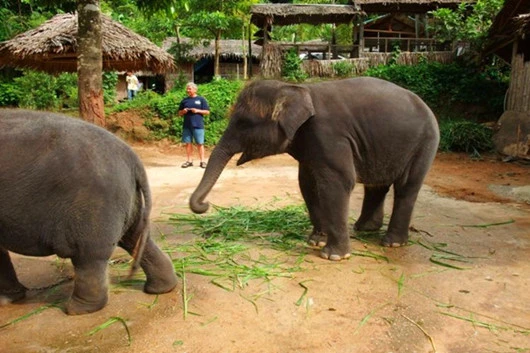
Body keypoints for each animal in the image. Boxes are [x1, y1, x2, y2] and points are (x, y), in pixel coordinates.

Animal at [0, 109, 177, 314]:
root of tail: (132, 158)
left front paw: (6, 300)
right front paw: (9, 299)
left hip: (92, 205)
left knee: (89, 257)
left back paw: (76, 309)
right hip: (125, 201)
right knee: (137, 237)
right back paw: (161, 288)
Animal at [189, 77, 438, 258]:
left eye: (244, 123)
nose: (205, 205)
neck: (293, 88)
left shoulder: (328, 134)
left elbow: (337, 183)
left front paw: (333, 256)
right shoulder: (309, 141)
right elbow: (308, 184)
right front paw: (316, 240)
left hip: (425, 143)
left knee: (406, 186)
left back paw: (392, 243)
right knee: (376, 186)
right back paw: (364, 229)